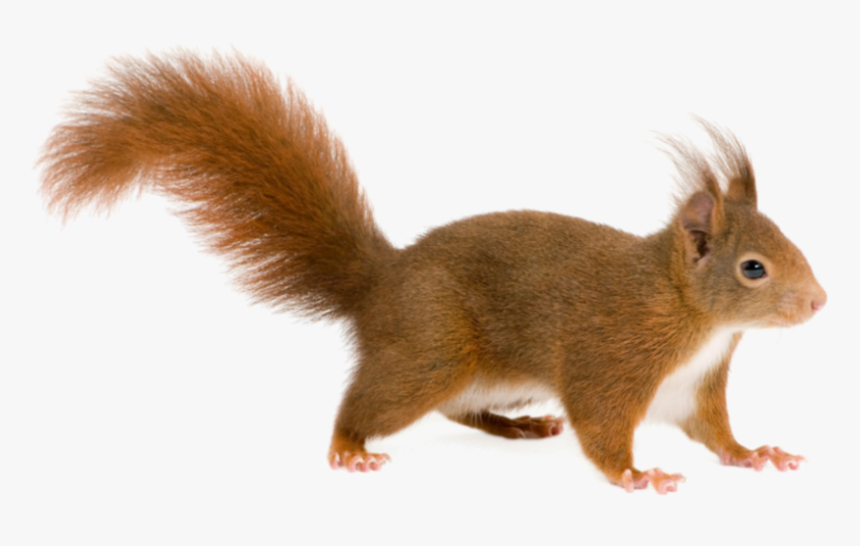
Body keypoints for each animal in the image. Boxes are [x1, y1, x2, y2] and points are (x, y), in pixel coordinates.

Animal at [38, 51, 826, 494]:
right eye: (753, 268)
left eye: (790, 239)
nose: (820, 302)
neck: (693, 318)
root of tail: (379, 282)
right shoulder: (612, 357)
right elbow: (602, 429)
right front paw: (638, 475)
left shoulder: (694, 388)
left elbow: (716, 434)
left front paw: (756, 454)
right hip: (429, 352)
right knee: (367, 405)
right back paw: (350, 449)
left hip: (481, 373)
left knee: (460, 409)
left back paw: (517, 428)